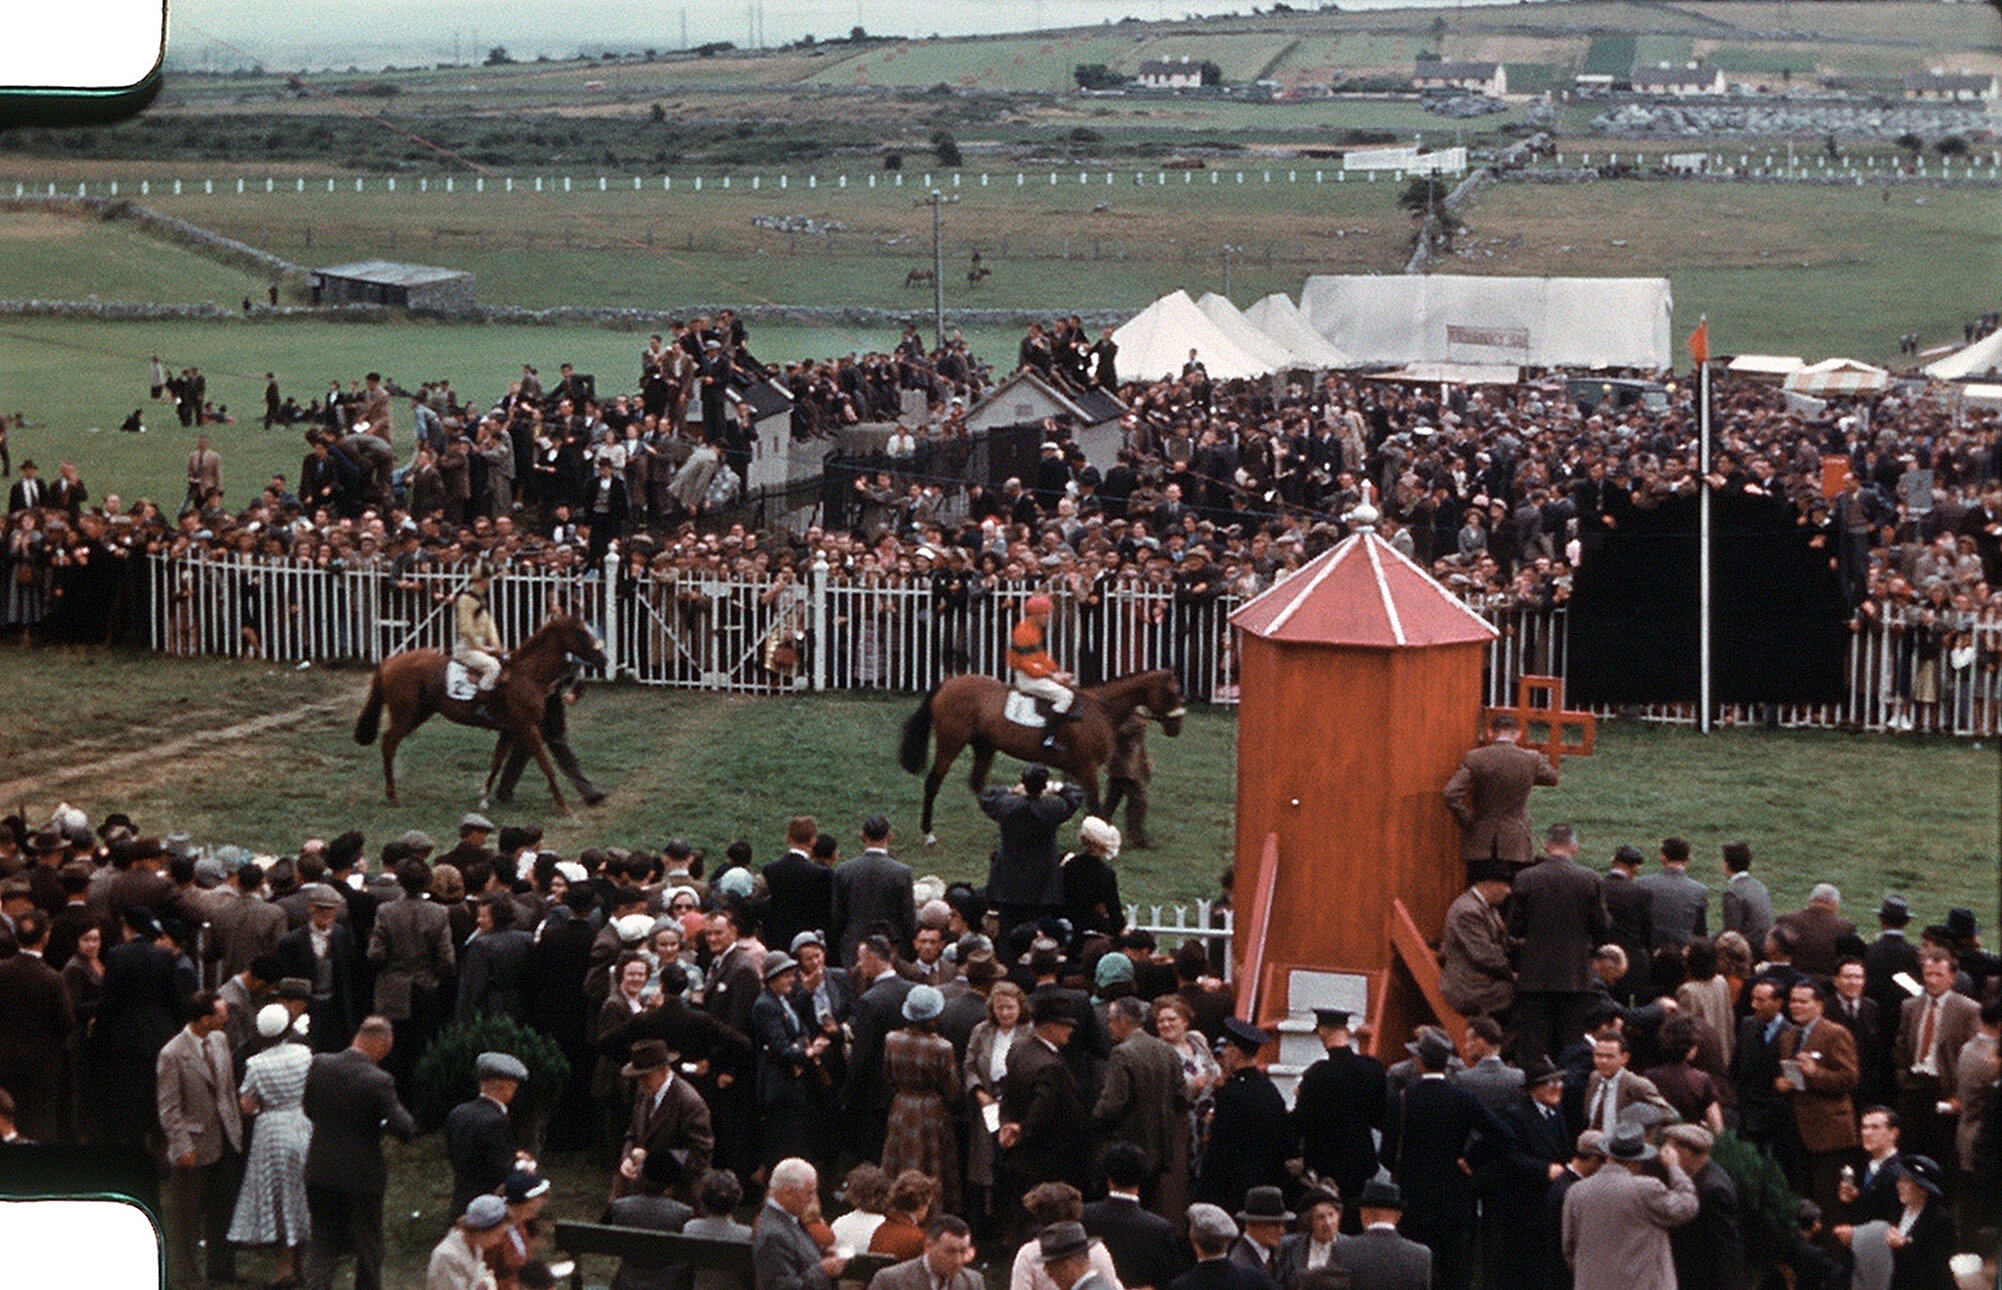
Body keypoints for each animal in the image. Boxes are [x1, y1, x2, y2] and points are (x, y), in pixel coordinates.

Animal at [352, 616, 604, 817]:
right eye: (581, 632)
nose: (601, 657)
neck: (526, 674)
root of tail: (389, 661)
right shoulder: (528, 727)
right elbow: (546, 766)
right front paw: (563, 806)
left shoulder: (510, 730)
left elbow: (496, 762)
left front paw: (484, 798)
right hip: (406, 715)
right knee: (388, 742)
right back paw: (393, 795)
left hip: (419, 714)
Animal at [896, 669, 1185, 841]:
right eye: (1173, 692)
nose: (1176, 727)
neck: (1099, 710)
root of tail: (949, 682)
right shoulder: (1087, 768)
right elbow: (1095, 805)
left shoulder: (1076, 770)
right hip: (950, 743)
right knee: (933, 782)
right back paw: (928, 833)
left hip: (984, 746)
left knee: (977, 783)